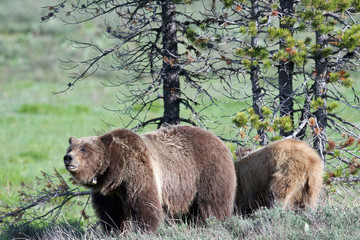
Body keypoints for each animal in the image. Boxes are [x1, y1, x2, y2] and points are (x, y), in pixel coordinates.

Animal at [63, 125, 238, 232]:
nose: (68, 158)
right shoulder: (109, 193)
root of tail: (219, 140)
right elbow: (111, 213)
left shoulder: (138, 174)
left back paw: (213, 223)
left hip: (208, 171)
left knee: (212, 203)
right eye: (71, 148)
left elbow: (145, 206)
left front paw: (145, 230)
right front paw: (114, 230)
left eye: (83, 149)